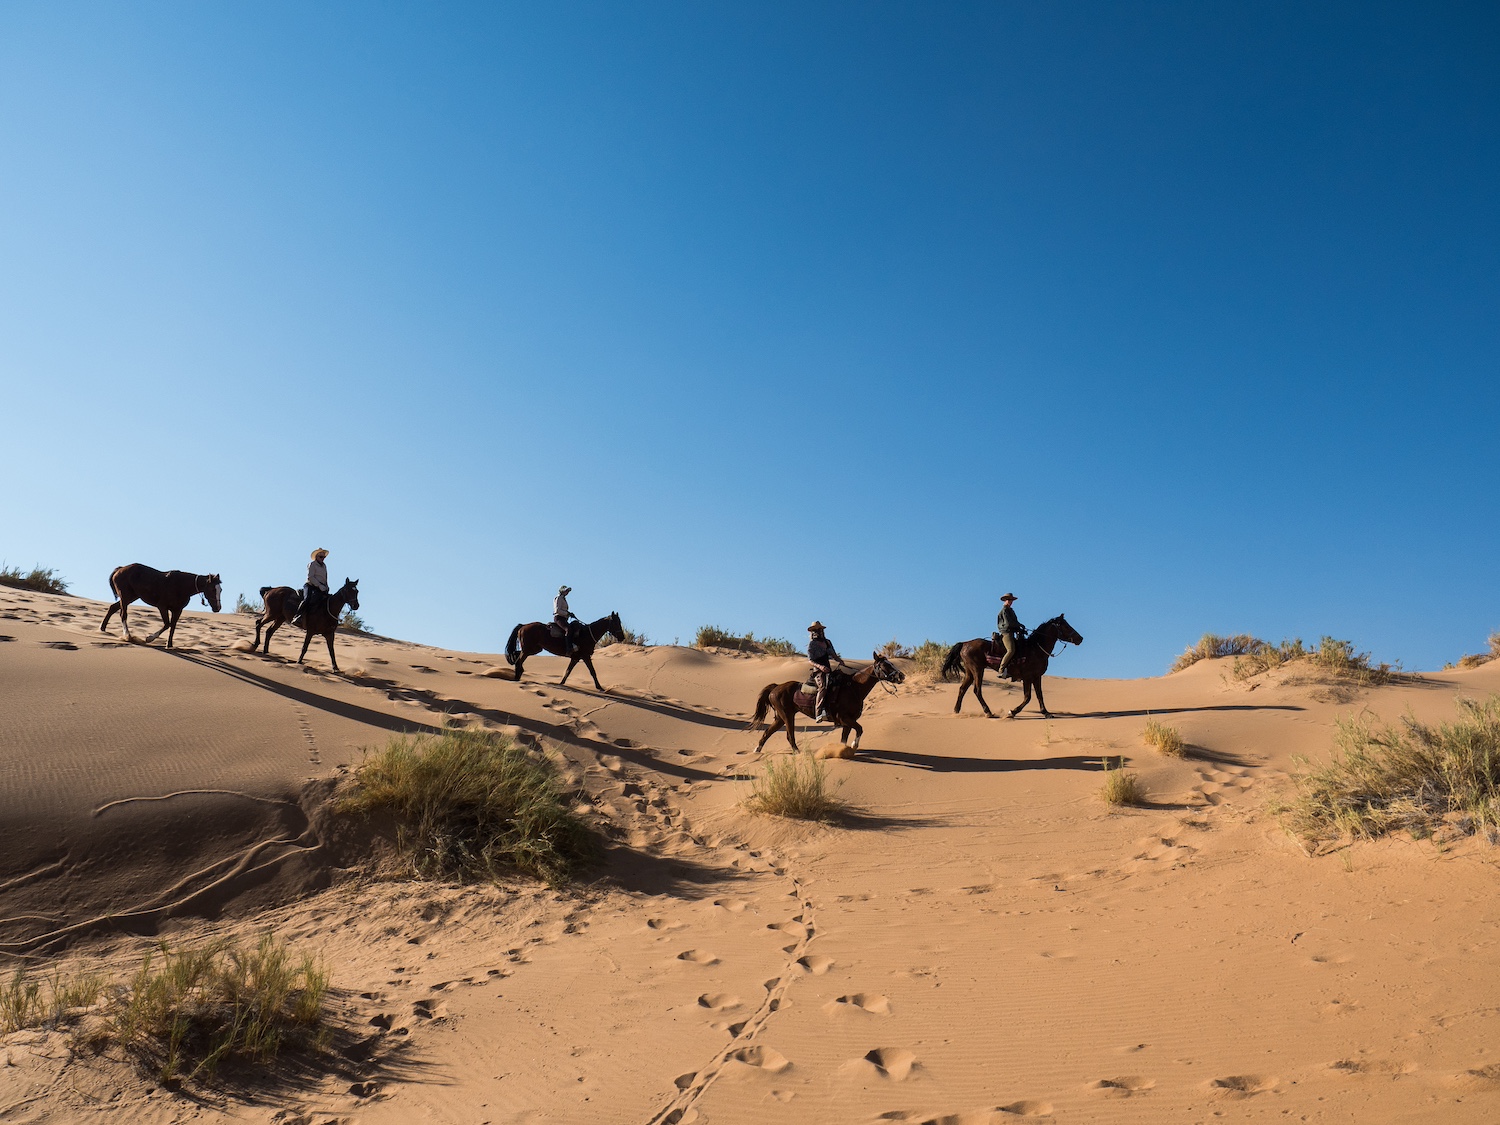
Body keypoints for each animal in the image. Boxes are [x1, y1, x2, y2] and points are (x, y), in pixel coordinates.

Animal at [747, 651, 900, 759]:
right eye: (885, 665)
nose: (901, 676)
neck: (854, 687)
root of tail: (775, 687)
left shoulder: (847, 722)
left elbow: (844, 738)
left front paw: (842, 750)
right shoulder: (845, 719)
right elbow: (860, 729)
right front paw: (854, 745)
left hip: (780, 717)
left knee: (767, 732)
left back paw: (757, 750)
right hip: (787, 716)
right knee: (790, 736)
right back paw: (798, 753)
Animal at [942, 618, 1086, 723]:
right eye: (1066, 626)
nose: (1080, 638)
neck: (1036, 648)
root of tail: (965, 643)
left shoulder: (1036, 676)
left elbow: (1039, 695)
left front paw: (1046, 713)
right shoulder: (1028, 677)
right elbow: (1028, 697)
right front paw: (1012, 712)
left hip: (970, 672)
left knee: (962, 689)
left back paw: (956, 711)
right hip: (978, 670)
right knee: (977, 690)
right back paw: (988, 712)